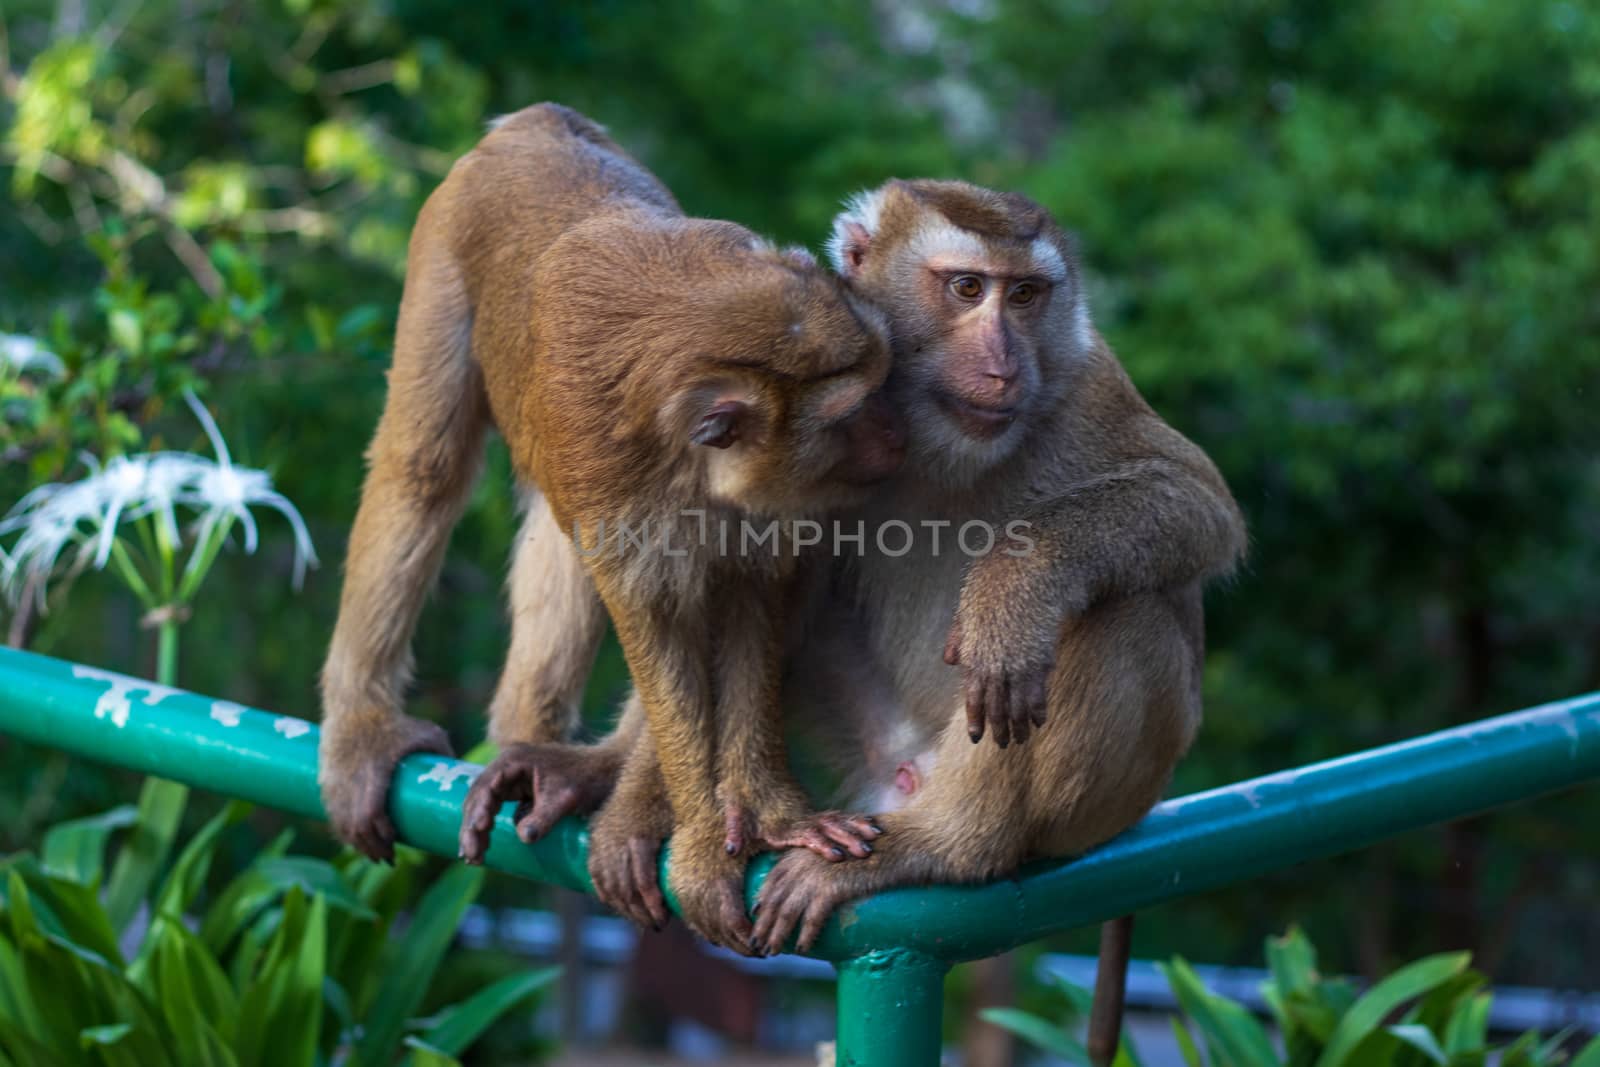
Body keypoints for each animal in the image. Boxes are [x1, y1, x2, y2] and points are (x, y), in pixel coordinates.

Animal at [316, 102, 908, 953]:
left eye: (888, 384)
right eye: (854, 412)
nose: (900, 436)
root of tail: (540, 121)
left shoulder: (769, 503)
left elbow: (749, 601)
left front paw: (759, 810)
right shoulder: (605, 460)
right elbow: (654, 619)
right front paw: (704, 844)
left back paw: (556, 756)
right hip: (441, 243)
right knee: (423, 466)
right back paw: (371, 731)